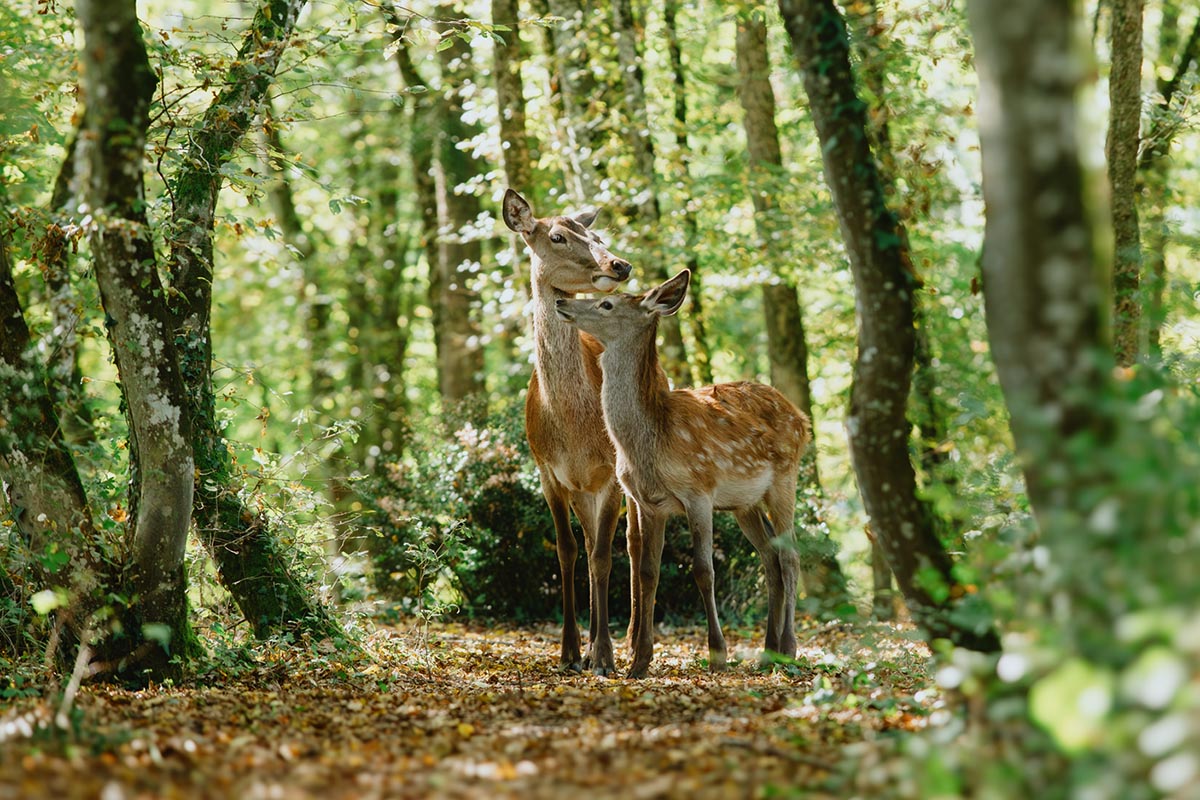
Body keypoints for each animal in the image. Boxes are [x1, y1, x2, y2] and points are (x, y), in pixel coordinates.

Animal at [501, 188, 643, 676]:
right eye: (558, 236)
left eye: (596, 235)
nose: (620, 264)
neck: (572, 426)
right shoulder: (548, 472)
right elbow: (567, 551)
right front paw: (568, 651)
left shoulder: (611, 472)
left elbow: (603, 556)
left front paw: (603, 655)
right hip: (581, 492)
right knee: (589, 539)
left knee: (632, 543)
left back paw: (631, 640)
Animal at [556, 268, 811, 676]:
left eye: (607, 304)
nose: (561, 300)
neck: (651, 442)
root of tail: (802, 418)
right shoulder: (648, 502)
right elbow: (647, 571)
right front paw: (639, 661)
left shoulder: (699, 491)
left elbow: (703, 570)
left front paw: (717, 654)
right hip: (744, 503)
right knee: (770, 557)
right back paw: (768, 651)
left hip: (785, 478)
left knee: (790, 557)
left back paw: (788, 648)